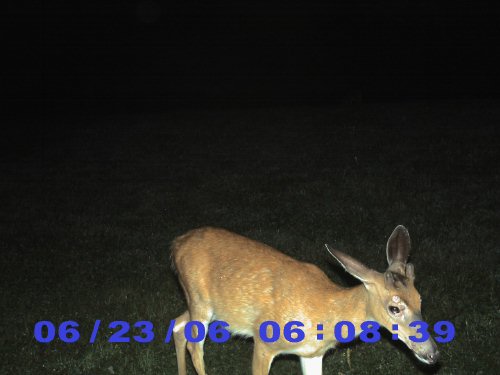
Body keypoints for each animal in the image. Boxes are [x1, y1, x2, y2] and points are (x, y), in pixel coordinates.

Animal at [170, 225, 440, 374]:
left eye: (420, 300)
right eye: (394, 308)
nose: (433, 354)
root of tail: (176, 244)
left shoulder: (312, 354)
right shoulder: (264, 340)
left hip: (201, 304)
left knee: (178, 324)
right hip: (200, 301)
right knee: (194, 344)